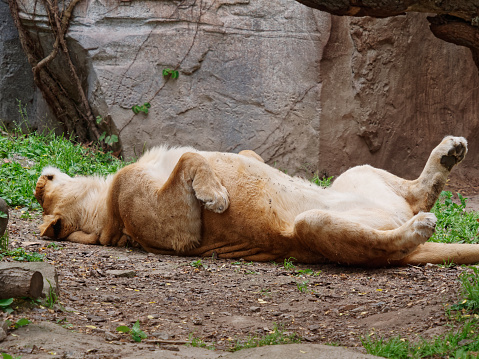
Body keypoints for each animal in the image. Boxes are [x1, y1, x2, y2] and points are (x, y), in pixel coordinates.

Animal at [34, 136, 479, 266]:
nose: (40, 179)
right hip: (310, 227)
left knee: (420, 192)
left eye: (41, 192)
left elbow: (215, 155)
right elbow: (188, 158)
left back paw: (450, 152)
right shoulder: (178, 232)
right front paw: (216, 196)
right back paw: (418, 226)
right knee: (389, 244)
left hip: (358, 174)